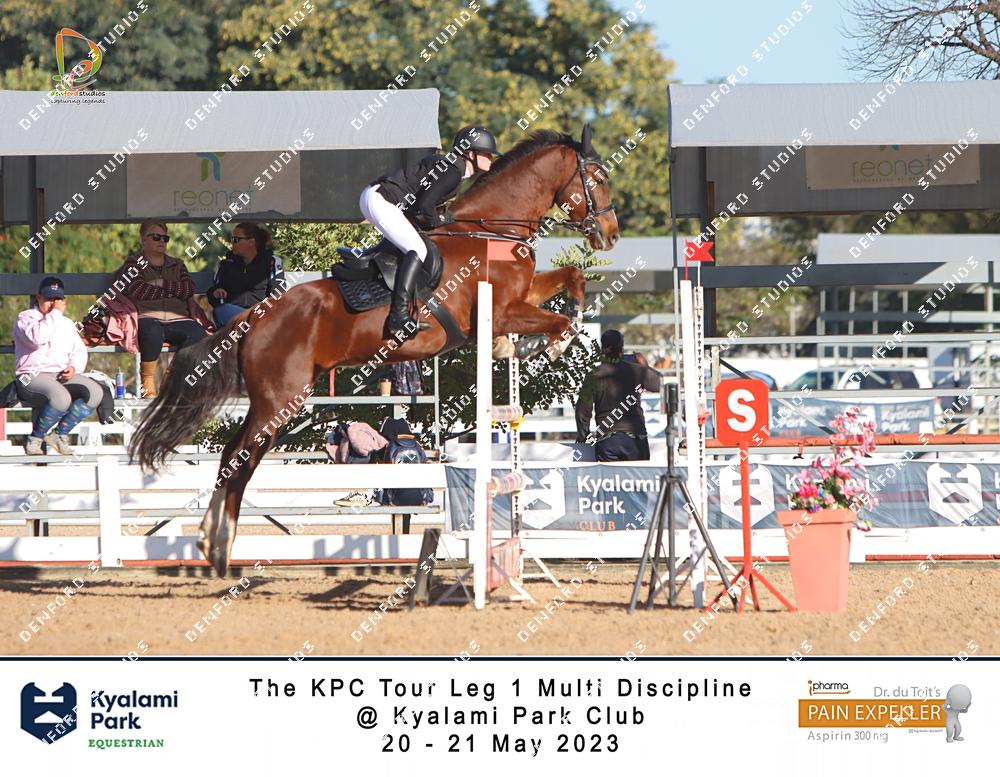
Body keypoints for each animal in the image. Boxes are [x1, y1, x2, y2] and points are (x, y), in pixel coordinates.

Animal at [129, 124, 620, 576]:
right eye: (596, 178)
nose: (610, 235)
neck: (491, 231)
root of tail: (255, 314)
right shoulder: (501, 309)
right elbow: (556, 320)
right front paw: (554, 341)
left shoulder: (523, 295)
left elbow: (573, 277)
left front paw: (549, 329)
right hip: (281, 400)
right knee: (239, 459)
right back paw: (220, 544)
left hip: (268, 399)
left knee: (232, 455)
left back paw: (210, 542)